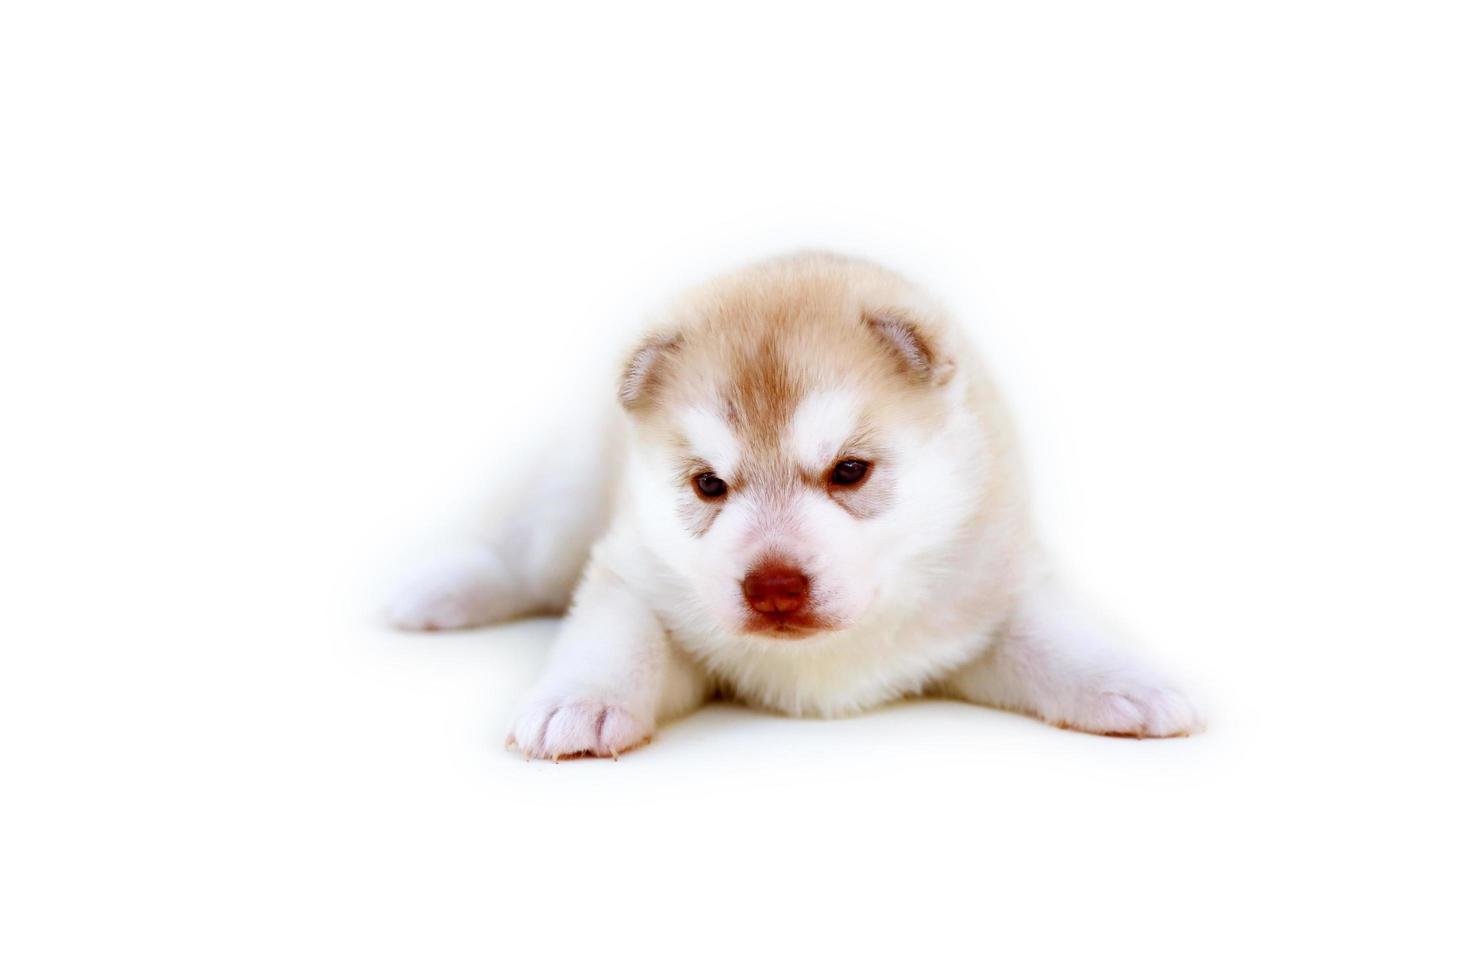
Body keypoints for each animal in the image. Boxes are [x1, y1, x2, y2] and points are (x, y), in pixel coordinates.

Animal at [391, 251, 1205, 758]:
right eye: (708, 485)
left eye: (849, 471)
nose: (774, 587)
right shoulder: (634, 570)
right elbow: (617, 636)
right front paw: (580, 702)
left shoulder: (991, 588)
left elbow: (1056, 638)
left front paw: (1134, 685)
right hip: (566, 507)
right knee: (517, 559)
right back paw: (432, 594)